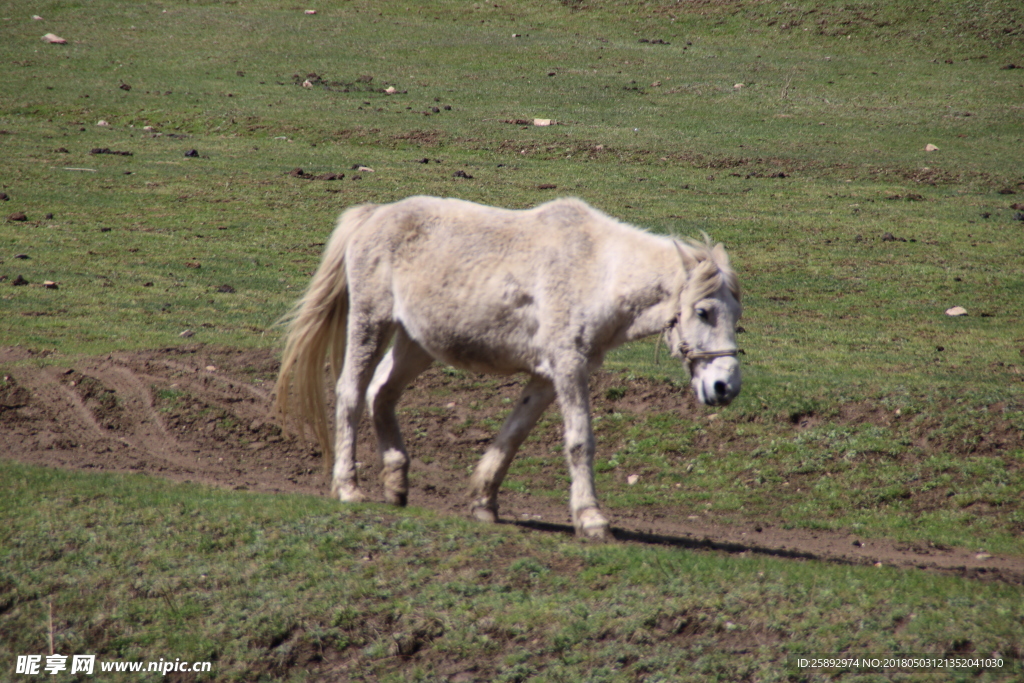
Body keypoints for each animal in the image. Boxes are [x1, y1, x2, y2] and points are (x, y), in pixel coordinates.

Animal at [272, 196, 741, 540]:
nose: (726, 387)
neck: (596, 271)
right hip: (371, 323)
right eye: (702, 312)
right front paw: (590, 519)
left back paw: (396, 482)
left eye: (737, 316)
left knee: (381, 394)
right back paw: (348, 487)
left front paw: (483, 502)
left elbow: (513, 436)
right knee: (351, 394)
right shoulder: (569, 367)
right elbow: (580, 441)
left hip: (416, 343)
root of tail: (374, 214)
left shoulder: (548, 377)